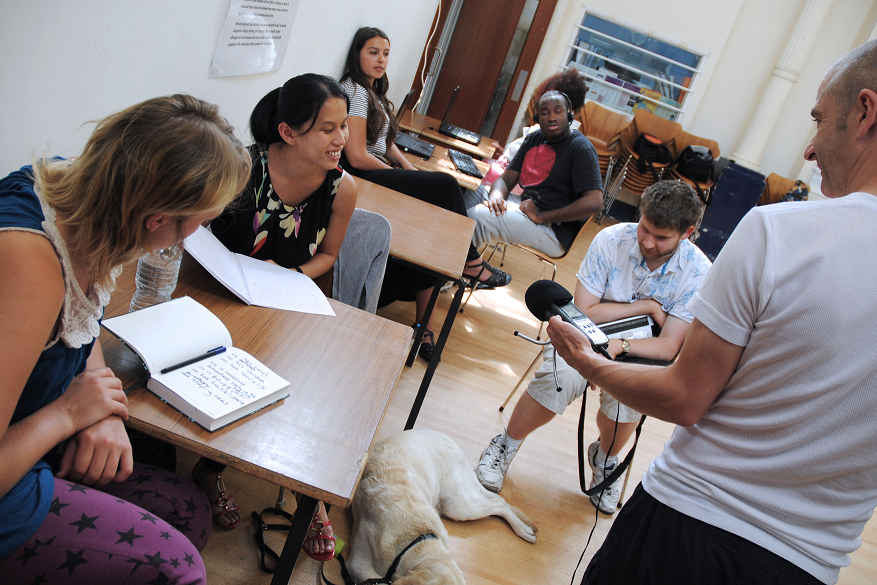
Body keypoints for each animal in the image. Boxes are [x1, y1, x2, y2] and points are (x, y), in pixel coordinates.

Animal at [346, 426, 536, 580]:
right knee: (498, 501)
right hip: (459, 503)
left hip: (457, 505)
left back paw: (523, 530)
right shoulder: (357, 560)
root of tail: (450, 440)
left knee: (498, 503)